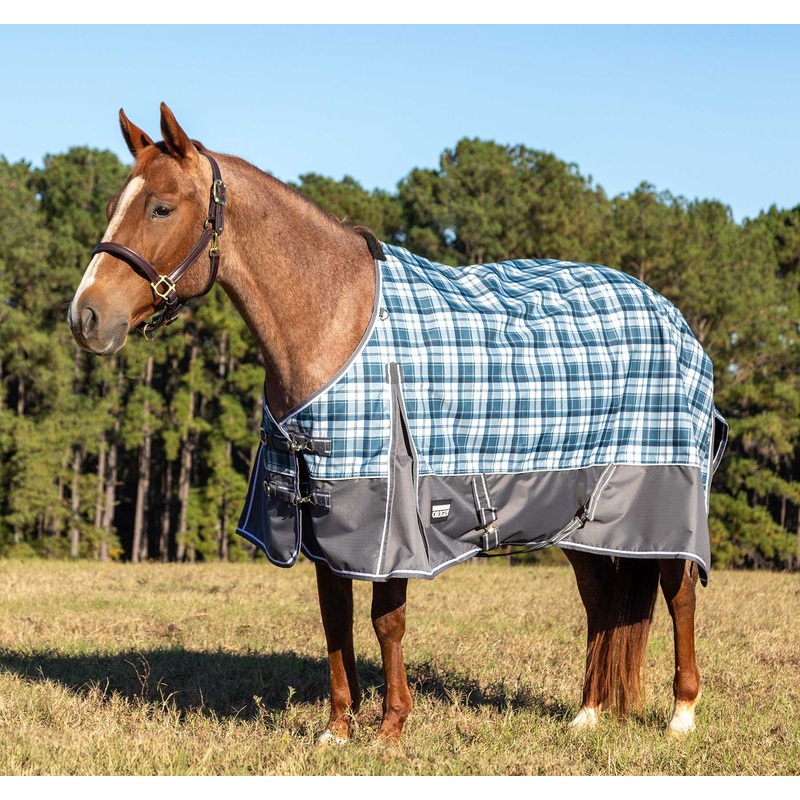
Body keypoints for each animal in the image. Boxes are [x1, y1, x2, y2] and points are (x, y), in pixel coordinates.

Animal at [69, 103, 727, 743]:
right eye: (112, 205)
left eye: (161, 206)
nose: (85, 317)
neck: (335, 319)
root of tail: (671, 315)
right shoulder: (320, 511)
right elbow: (335, 618)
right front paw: (338, 728)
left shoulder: (390, 517)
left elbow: (386, 621)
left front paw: (391, 727)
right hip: (576, 510)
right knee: (601, 600)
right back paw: (587, 714)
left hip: (664, 494)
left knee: (678, 594)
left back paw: (682, 714)